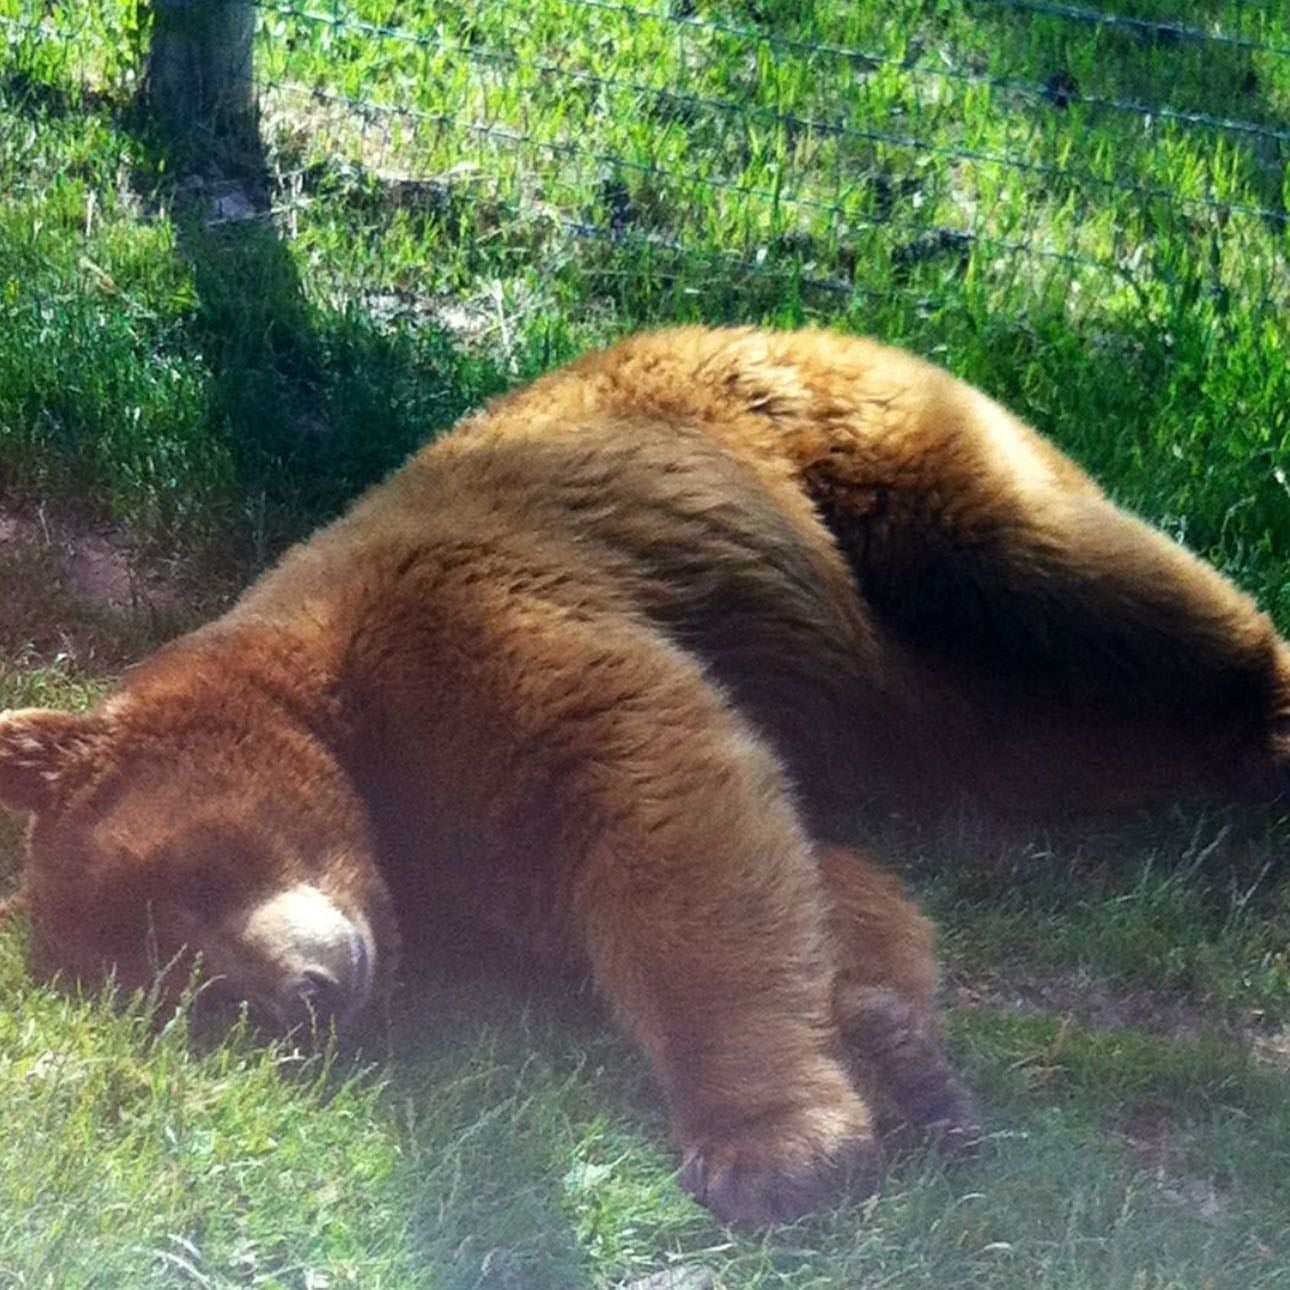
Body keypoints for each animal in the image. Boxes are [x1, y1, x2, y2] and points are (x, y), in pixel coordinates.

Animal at [2, 325, 1289, 1227]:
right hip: (964, 706)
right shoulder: (473, 859)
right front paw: (898, 1054)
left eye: (200, 874)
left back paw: (1265, 717)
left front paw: (772, 1148)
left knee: (1075, 575)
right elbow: (812, 873)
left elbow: (661, 802)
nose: (306, 995)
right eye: (195, 995)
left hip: (855, 458)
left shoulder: (470, 626)